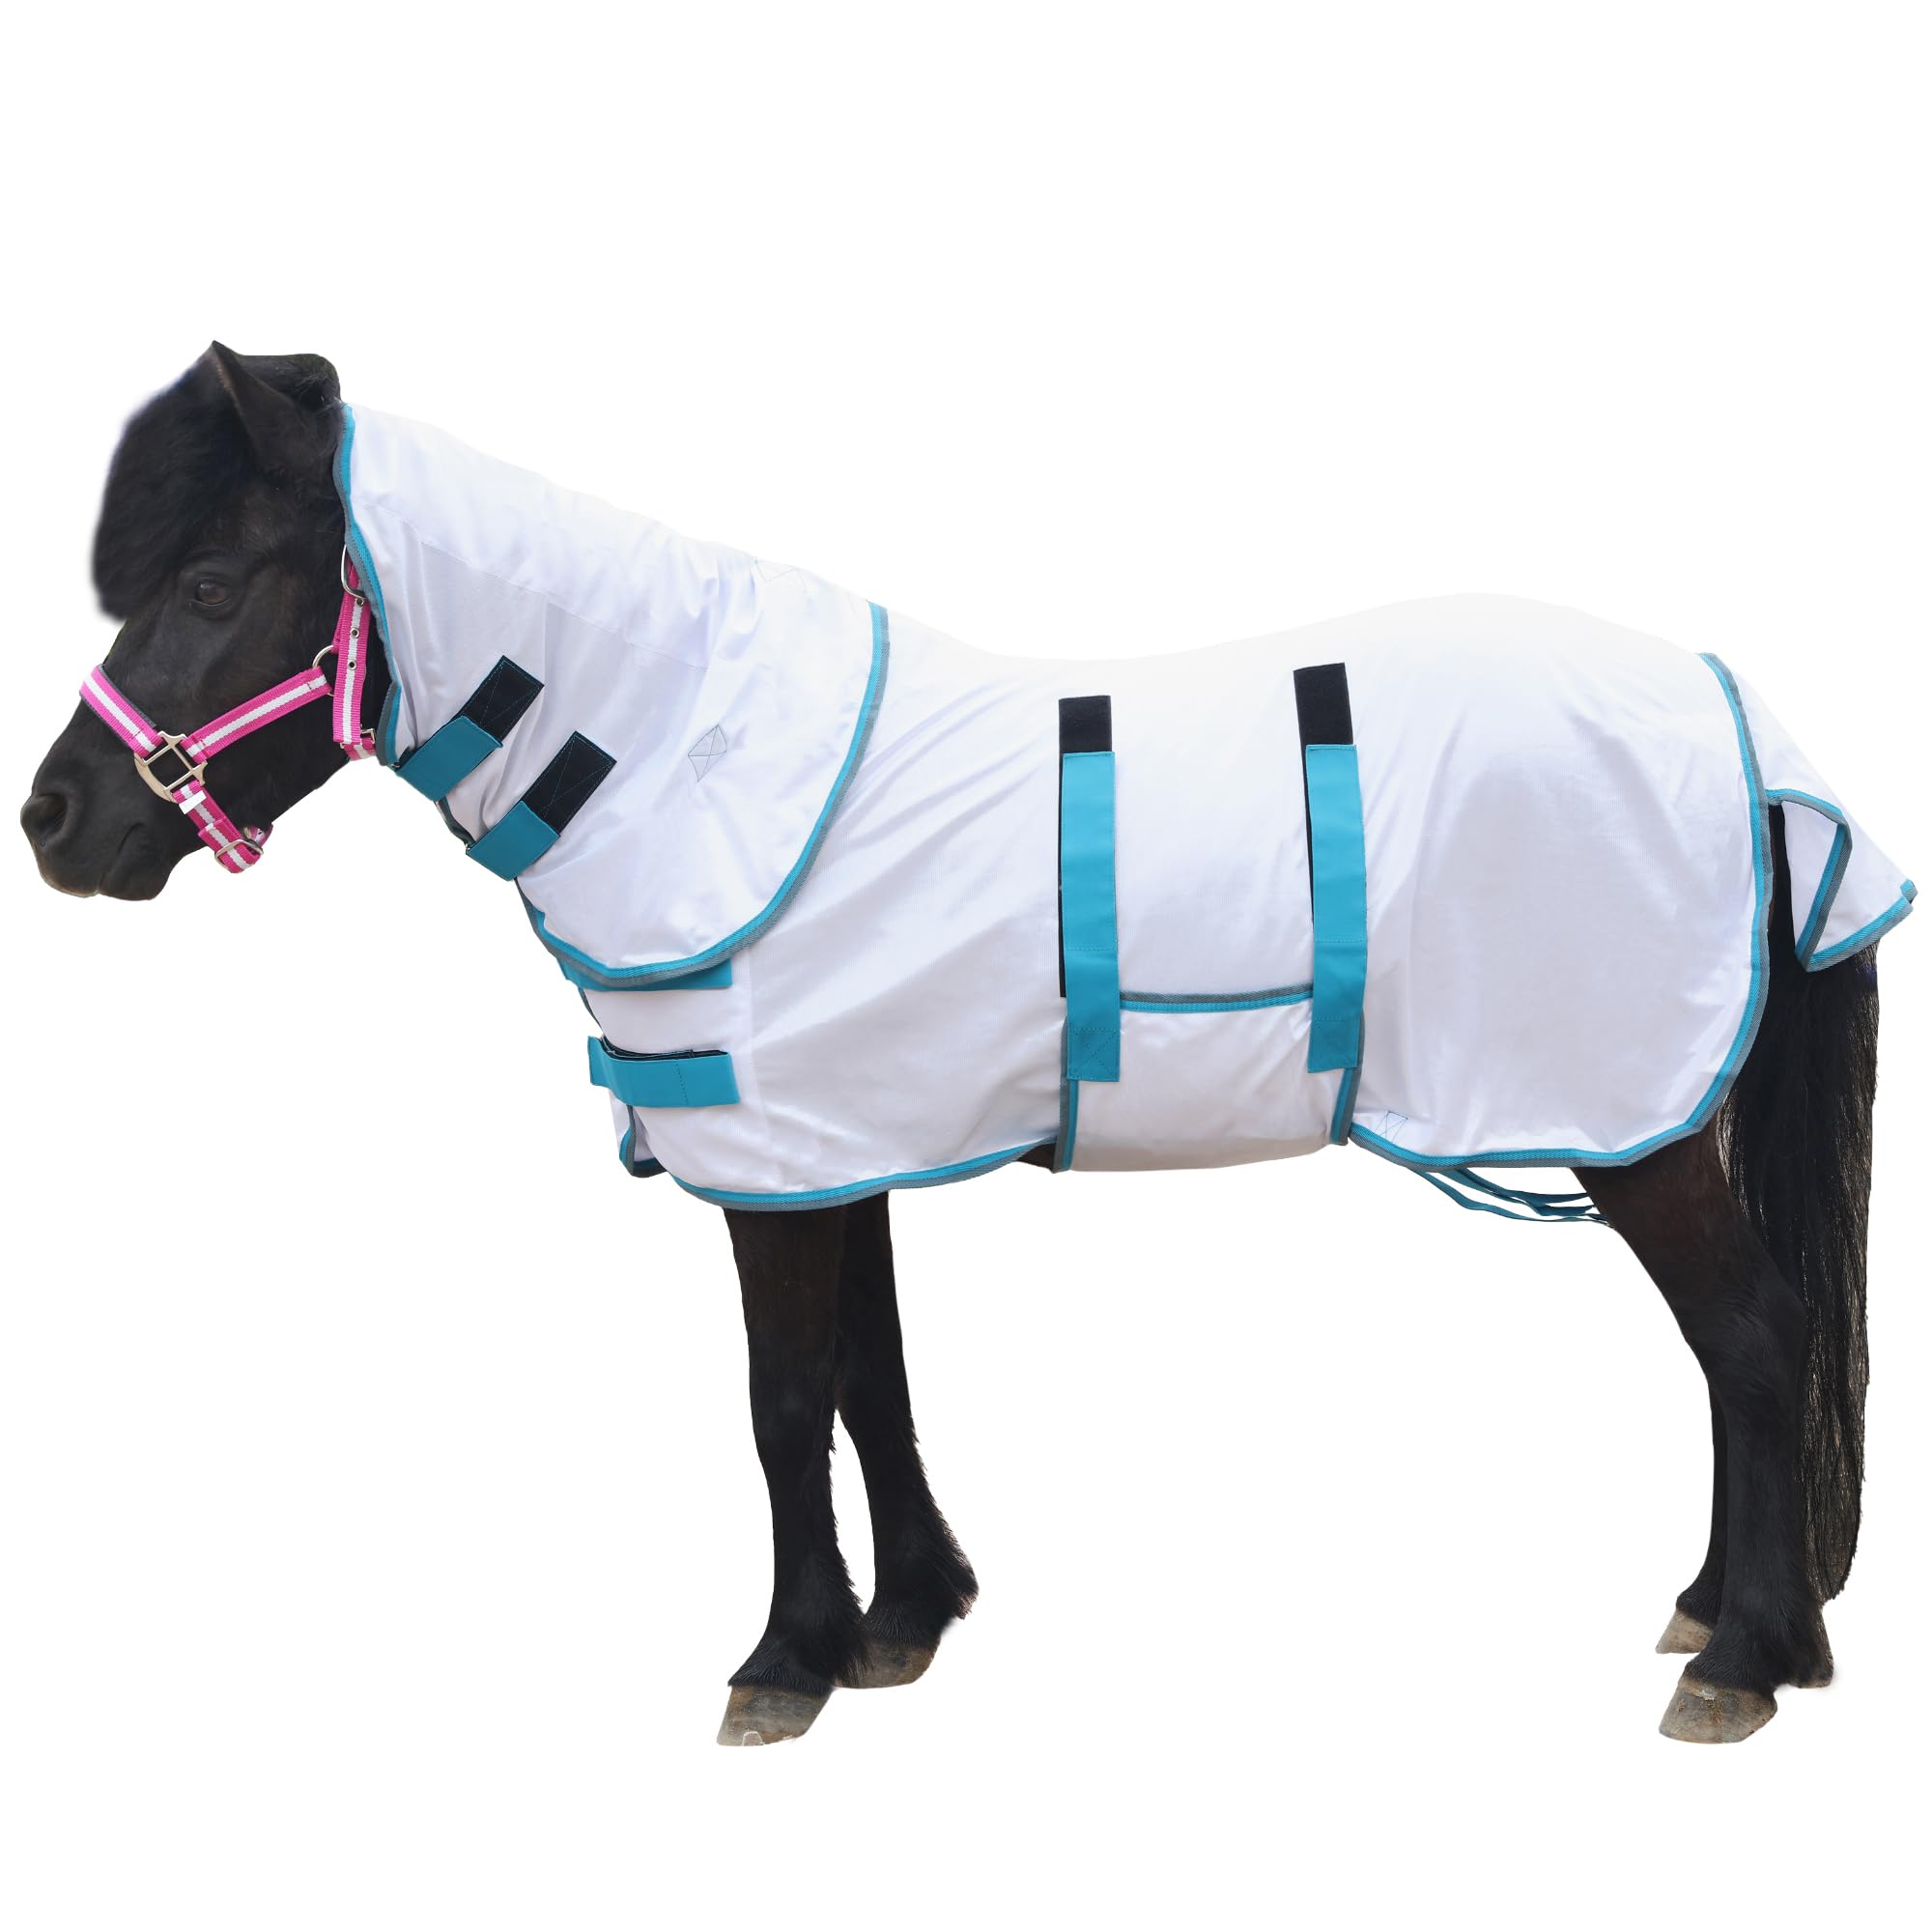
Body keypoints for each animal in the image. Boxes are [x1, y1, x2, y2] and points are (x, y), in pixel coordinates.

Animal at [22, 345, 1908, 1747]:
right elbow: (874, 1378)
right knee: (1736, 1353)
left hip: (1631, 1122)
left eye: (210, 580)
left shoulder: (770, 1169)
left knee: (1753, 1338)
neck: (685, 752)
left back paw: (1745, 1657)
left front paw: (784, 1659)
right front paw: (909, 1619)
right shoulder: (837, 1147)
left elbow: (785, 1399)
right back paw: (1717, 1612)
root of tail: (1730, 712)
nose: (54, 821)